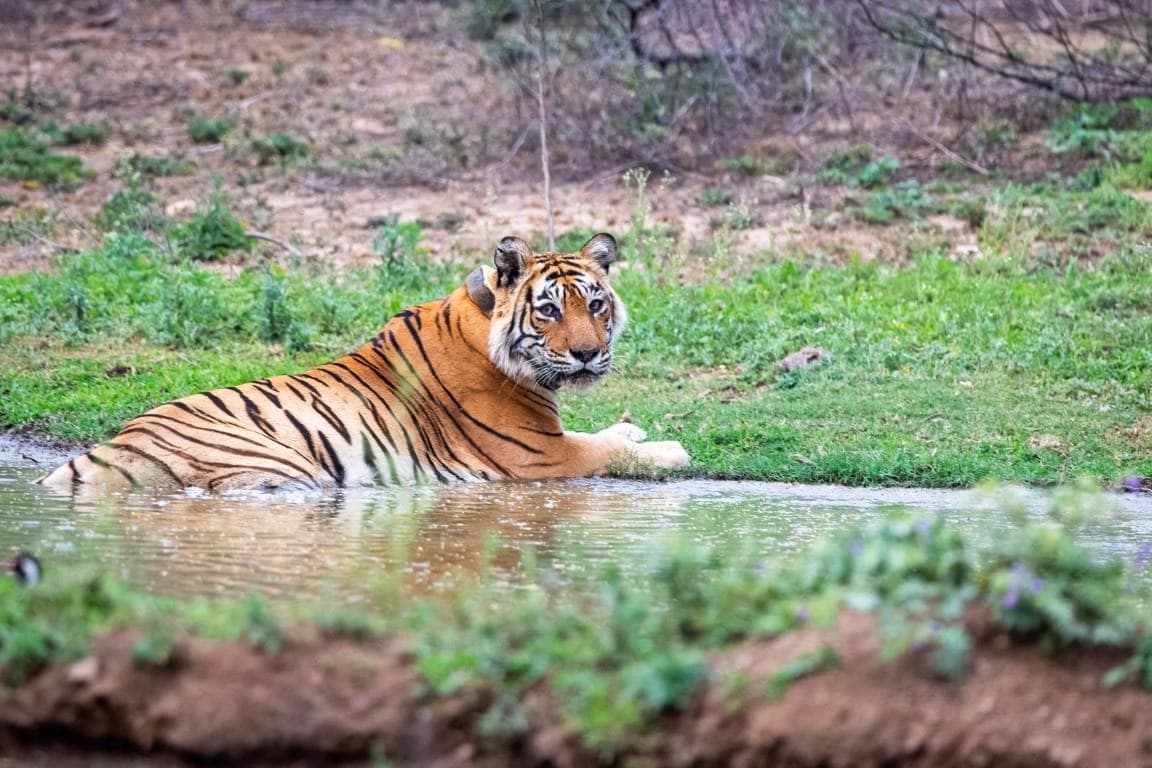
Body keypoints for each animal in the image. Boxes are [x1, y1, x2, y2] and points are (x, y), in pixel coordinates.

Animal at [38, 233, 690, 493]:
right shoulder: (540, 455)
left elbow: (607, 434)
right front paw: (668, 450)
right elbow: (606, 451)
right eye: (550, 309)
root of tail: (96, 454)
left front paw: (632, 426)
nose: (587, 352)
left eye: (596, 304)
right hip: (281, 465)